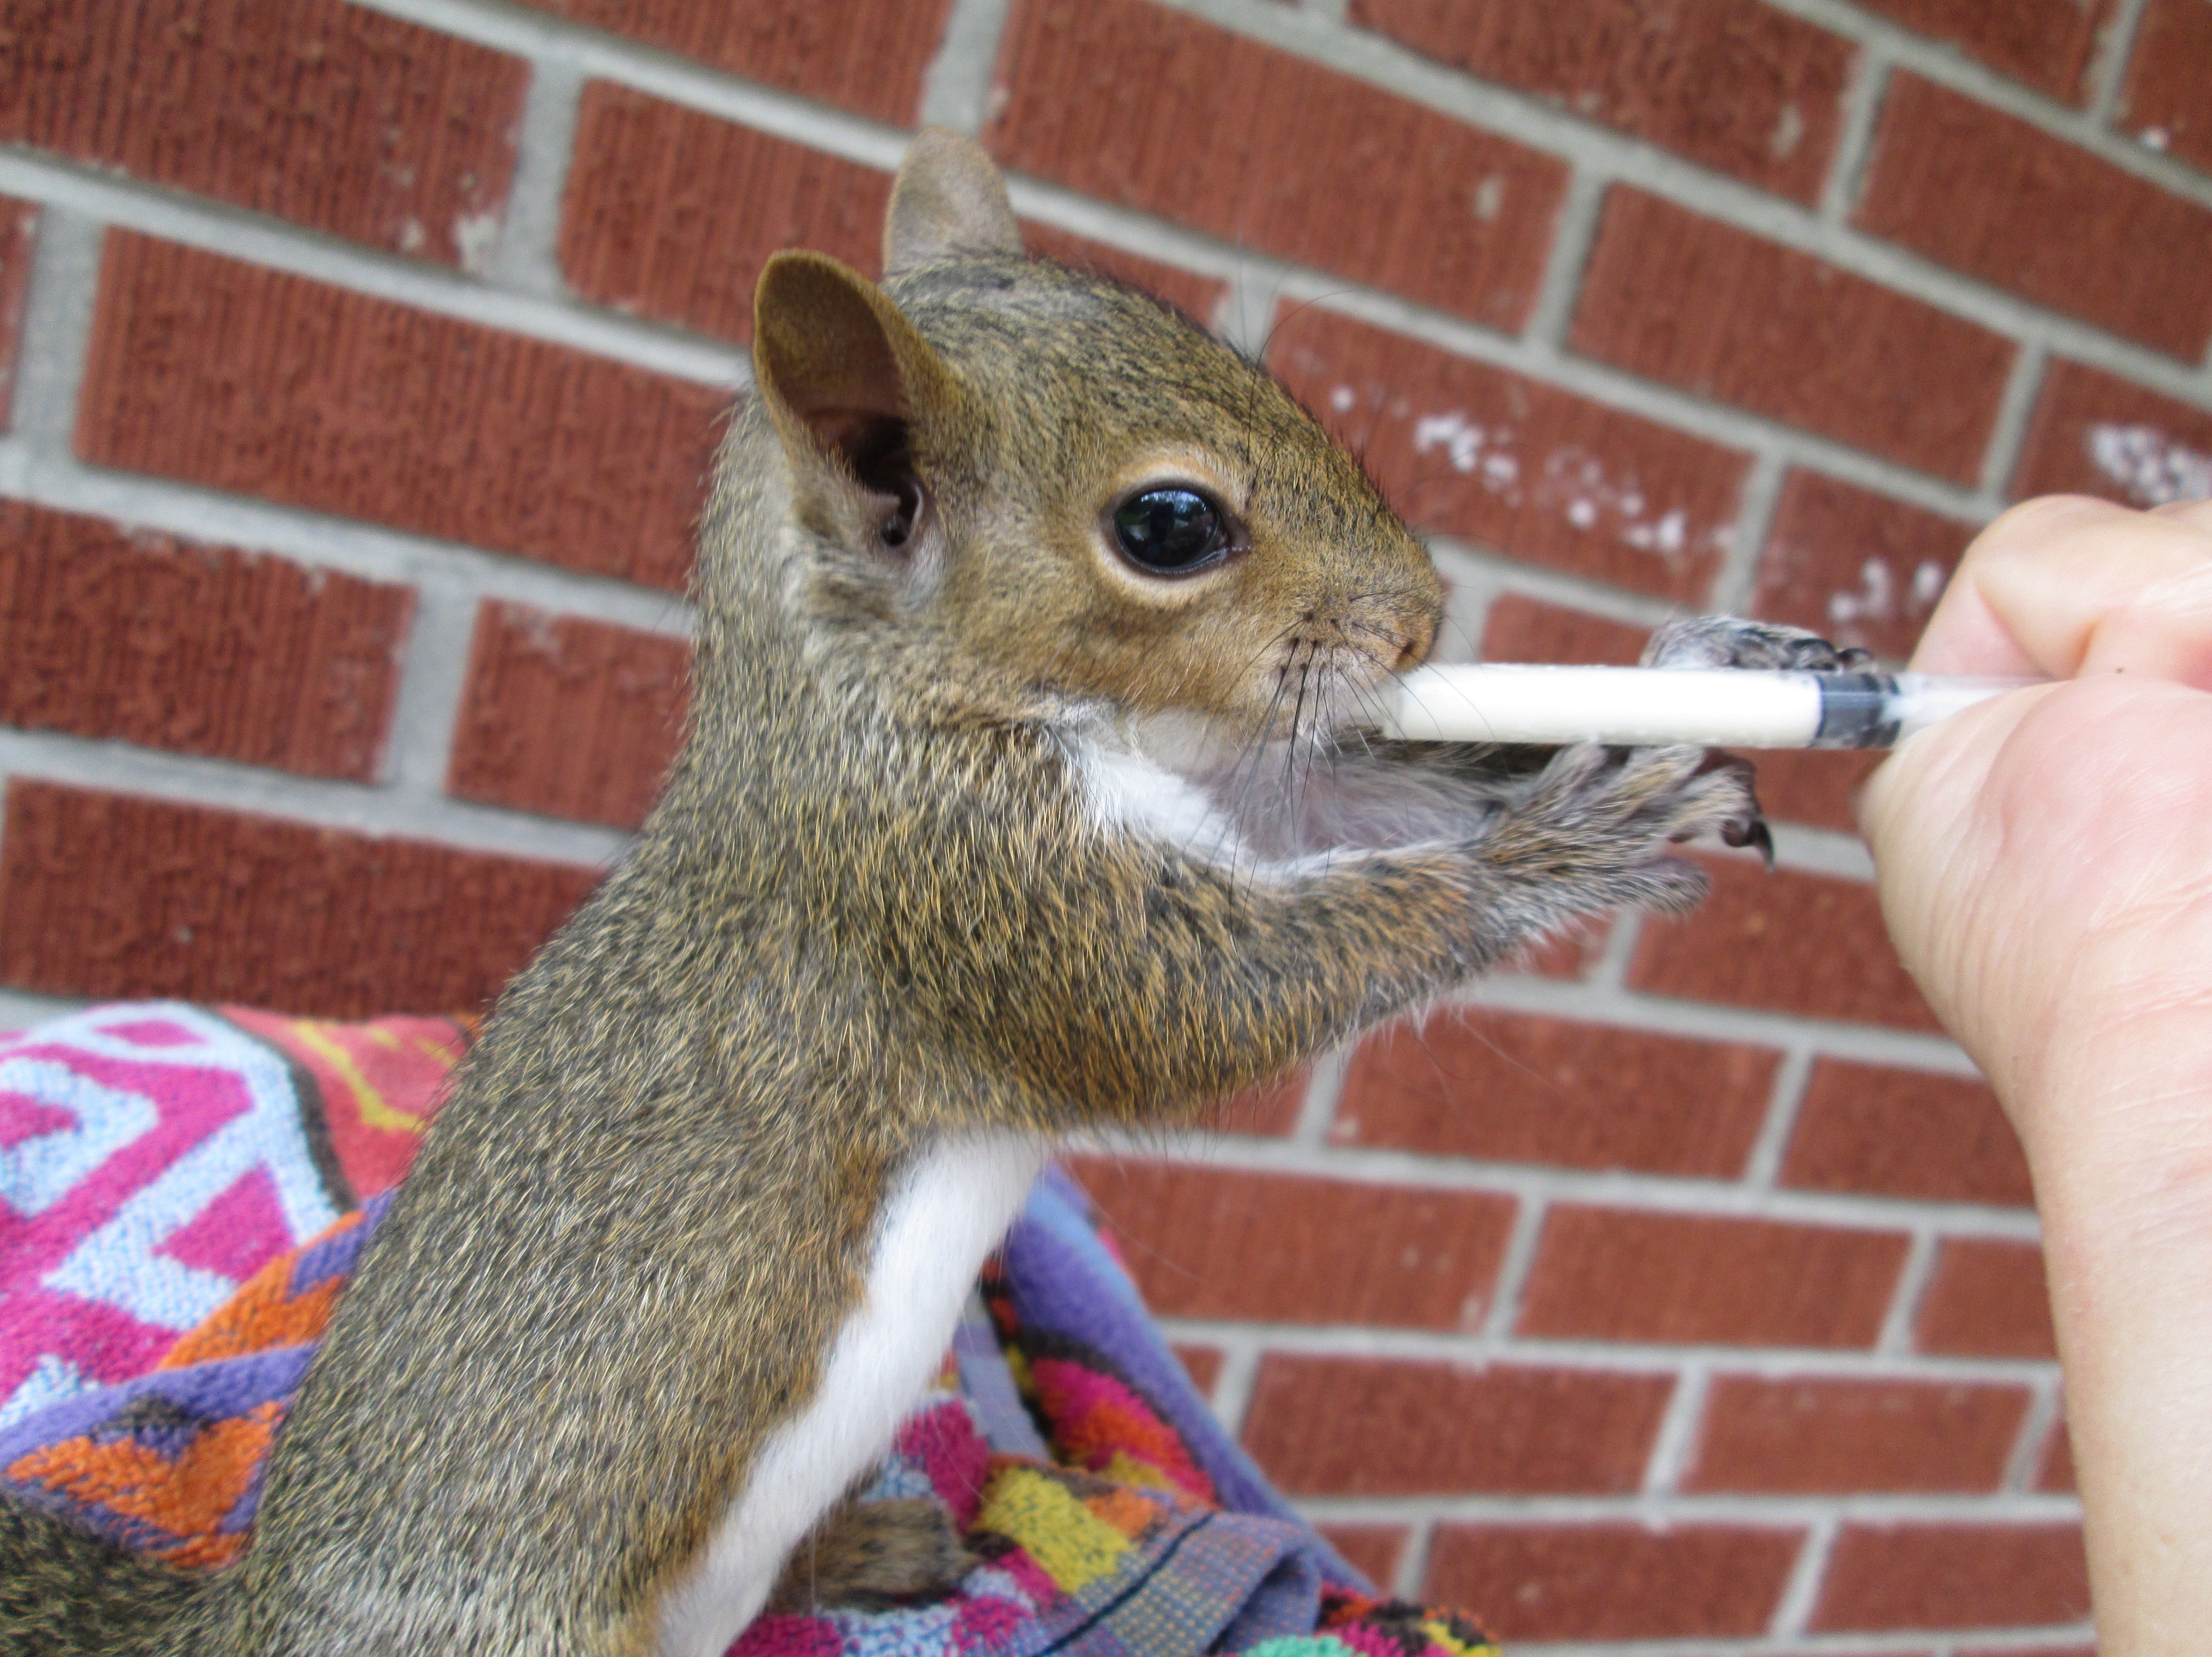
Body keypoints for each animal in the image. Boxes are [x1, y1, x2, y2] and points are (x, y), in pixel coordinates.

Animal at [0, 132, 1849, 1655]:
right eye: (1168, 525)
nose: (1418, 619)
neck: (875, 696)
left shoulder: (1200, 787)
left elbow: (1332, 783)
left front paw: (1694, 681)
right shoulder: (964, 890)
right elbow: (1211, 994)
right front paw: (1565, 840)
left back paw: (871, 1550)